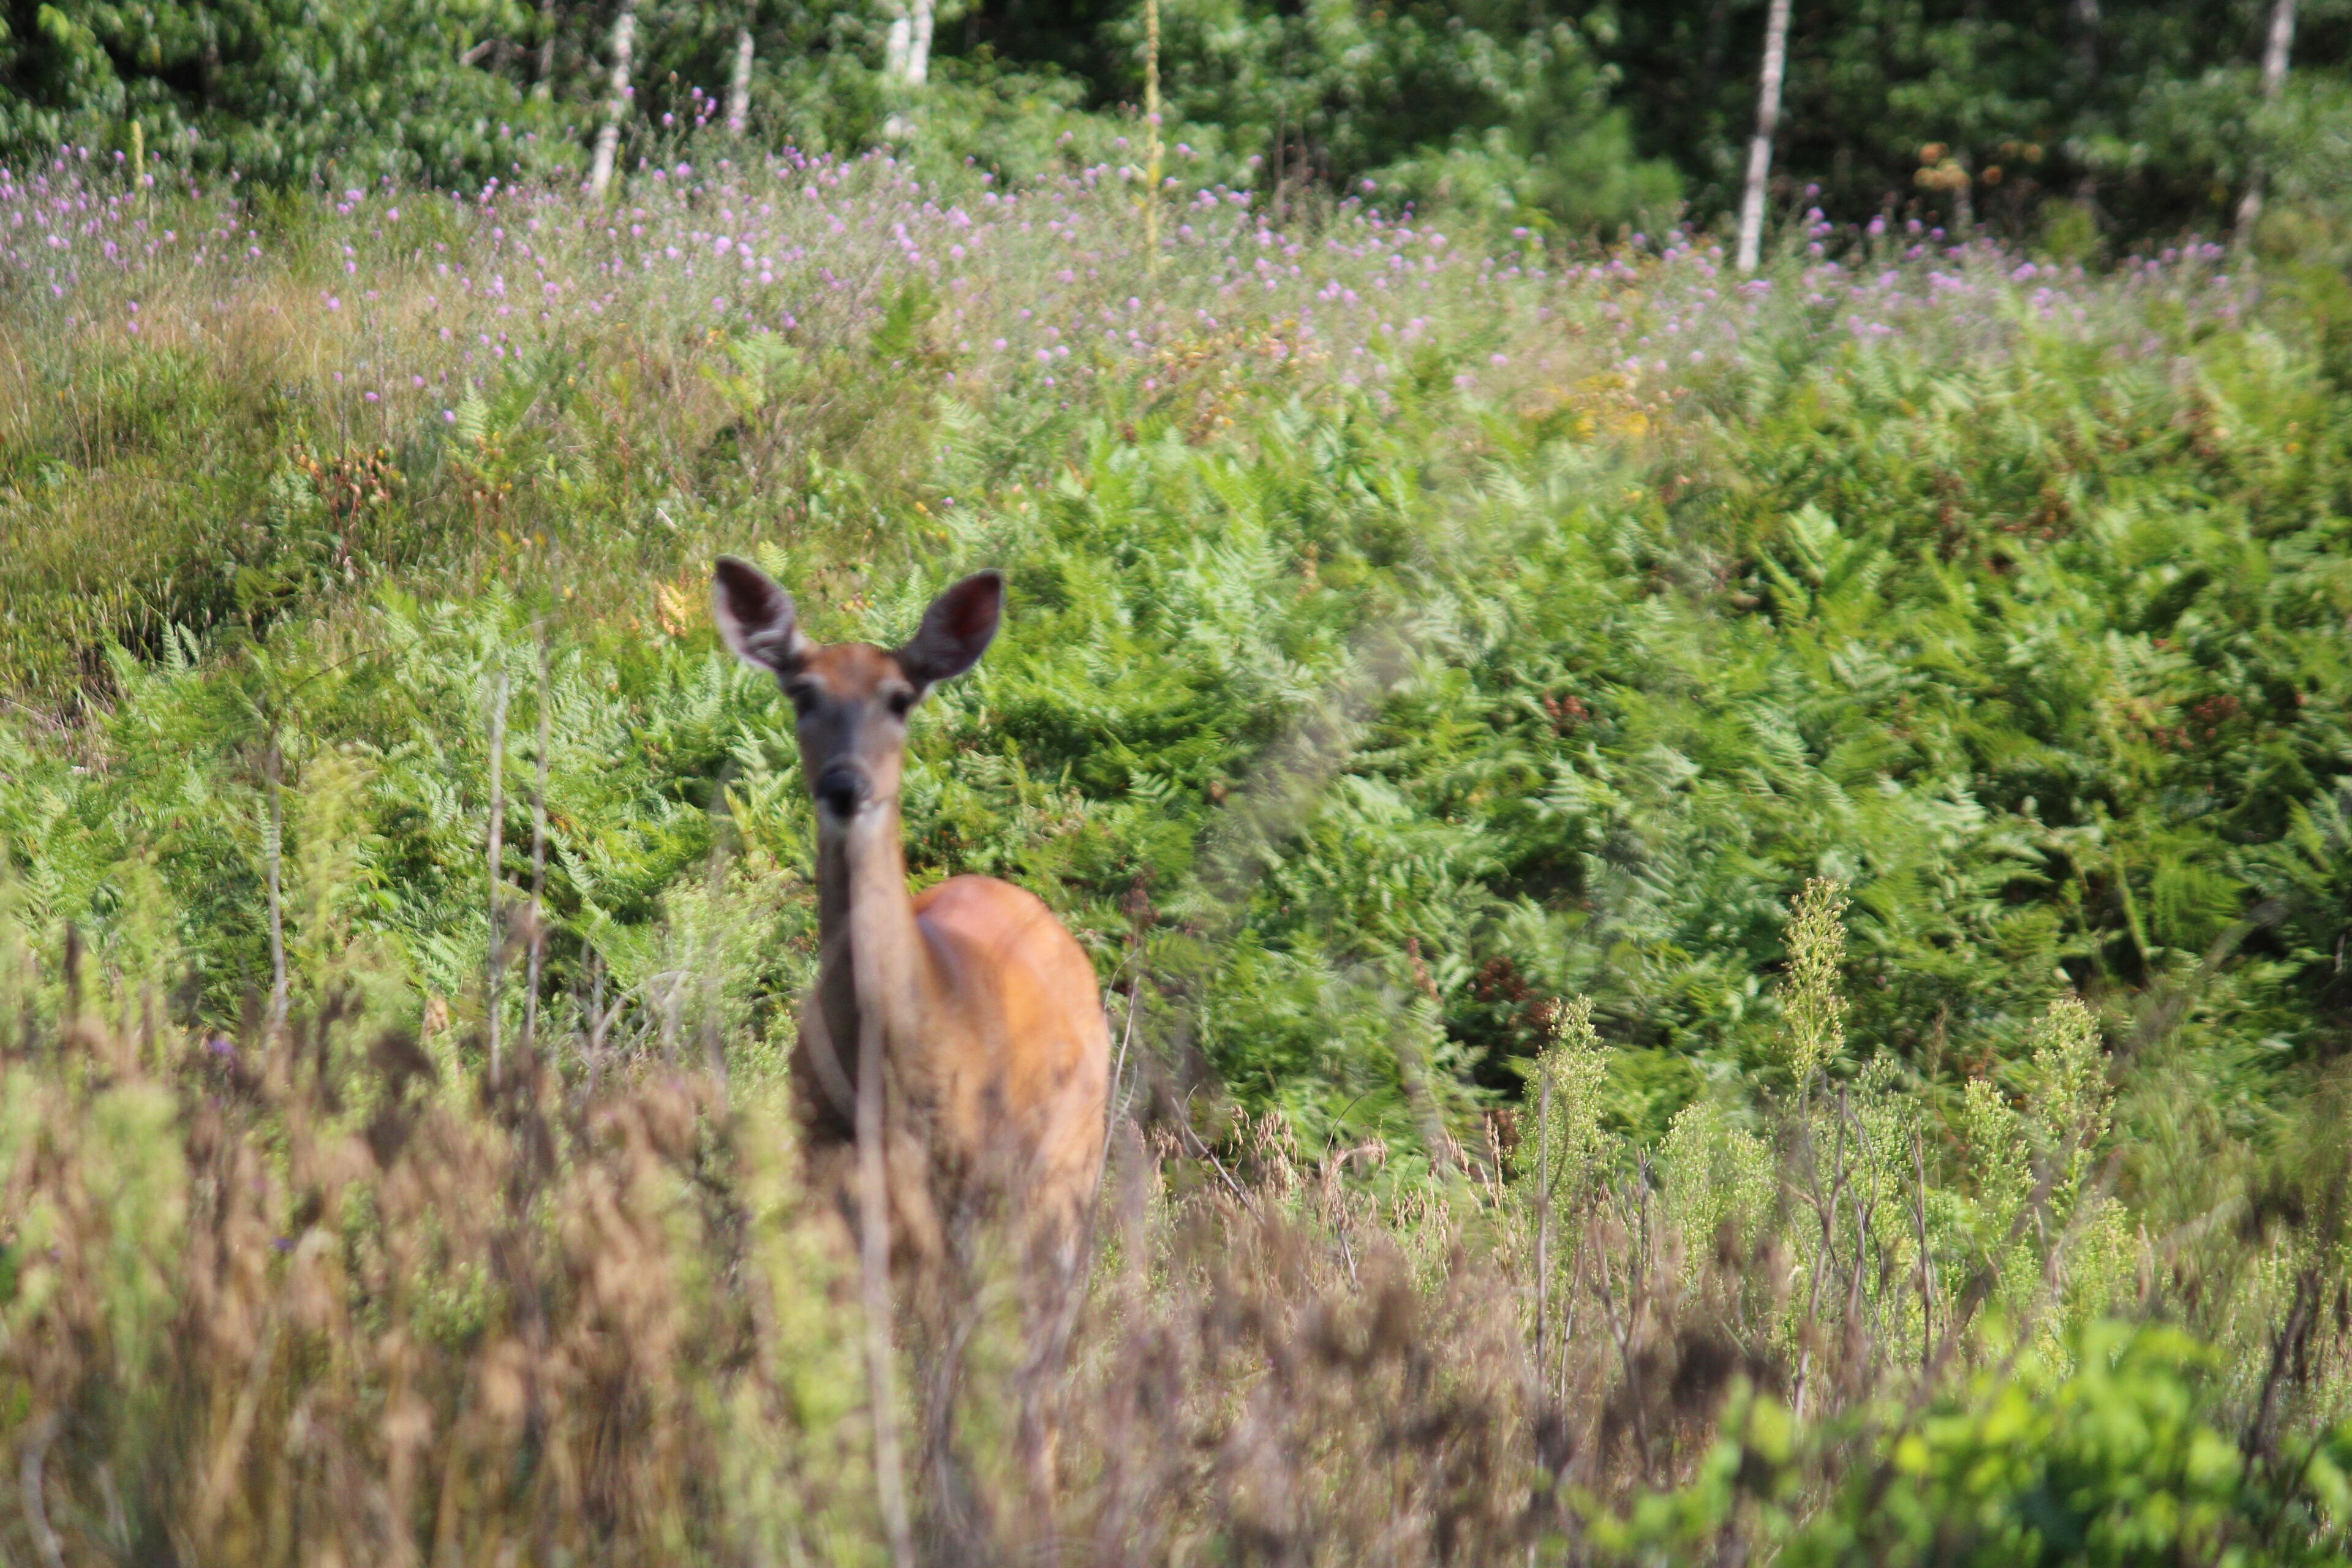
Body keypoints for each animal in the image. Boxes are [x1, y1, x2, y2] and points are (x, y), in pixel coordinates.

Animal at [710, 555, 1110, 1276]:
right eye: (802, 693)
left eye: (899, 698)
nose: (845, 785)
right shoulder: (821, 1157)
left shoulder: (970, 1170)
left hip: (1070, 1156)